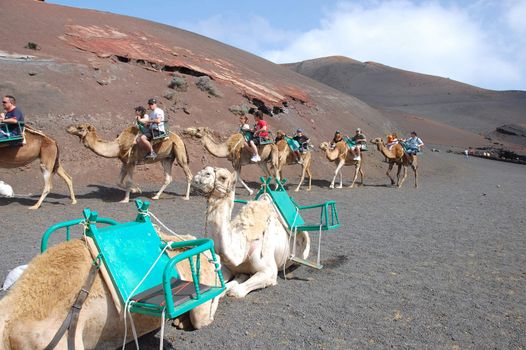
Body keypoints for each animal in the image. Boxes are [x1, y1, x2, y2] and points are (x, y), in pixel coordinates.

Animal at [192, 167, 312, 298]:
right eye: (204, 170)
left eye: (223, 177)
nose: (199, 175)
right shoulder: (226, 267)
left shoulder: (269, 271)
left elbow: (236, 291)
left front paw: (232, 288)